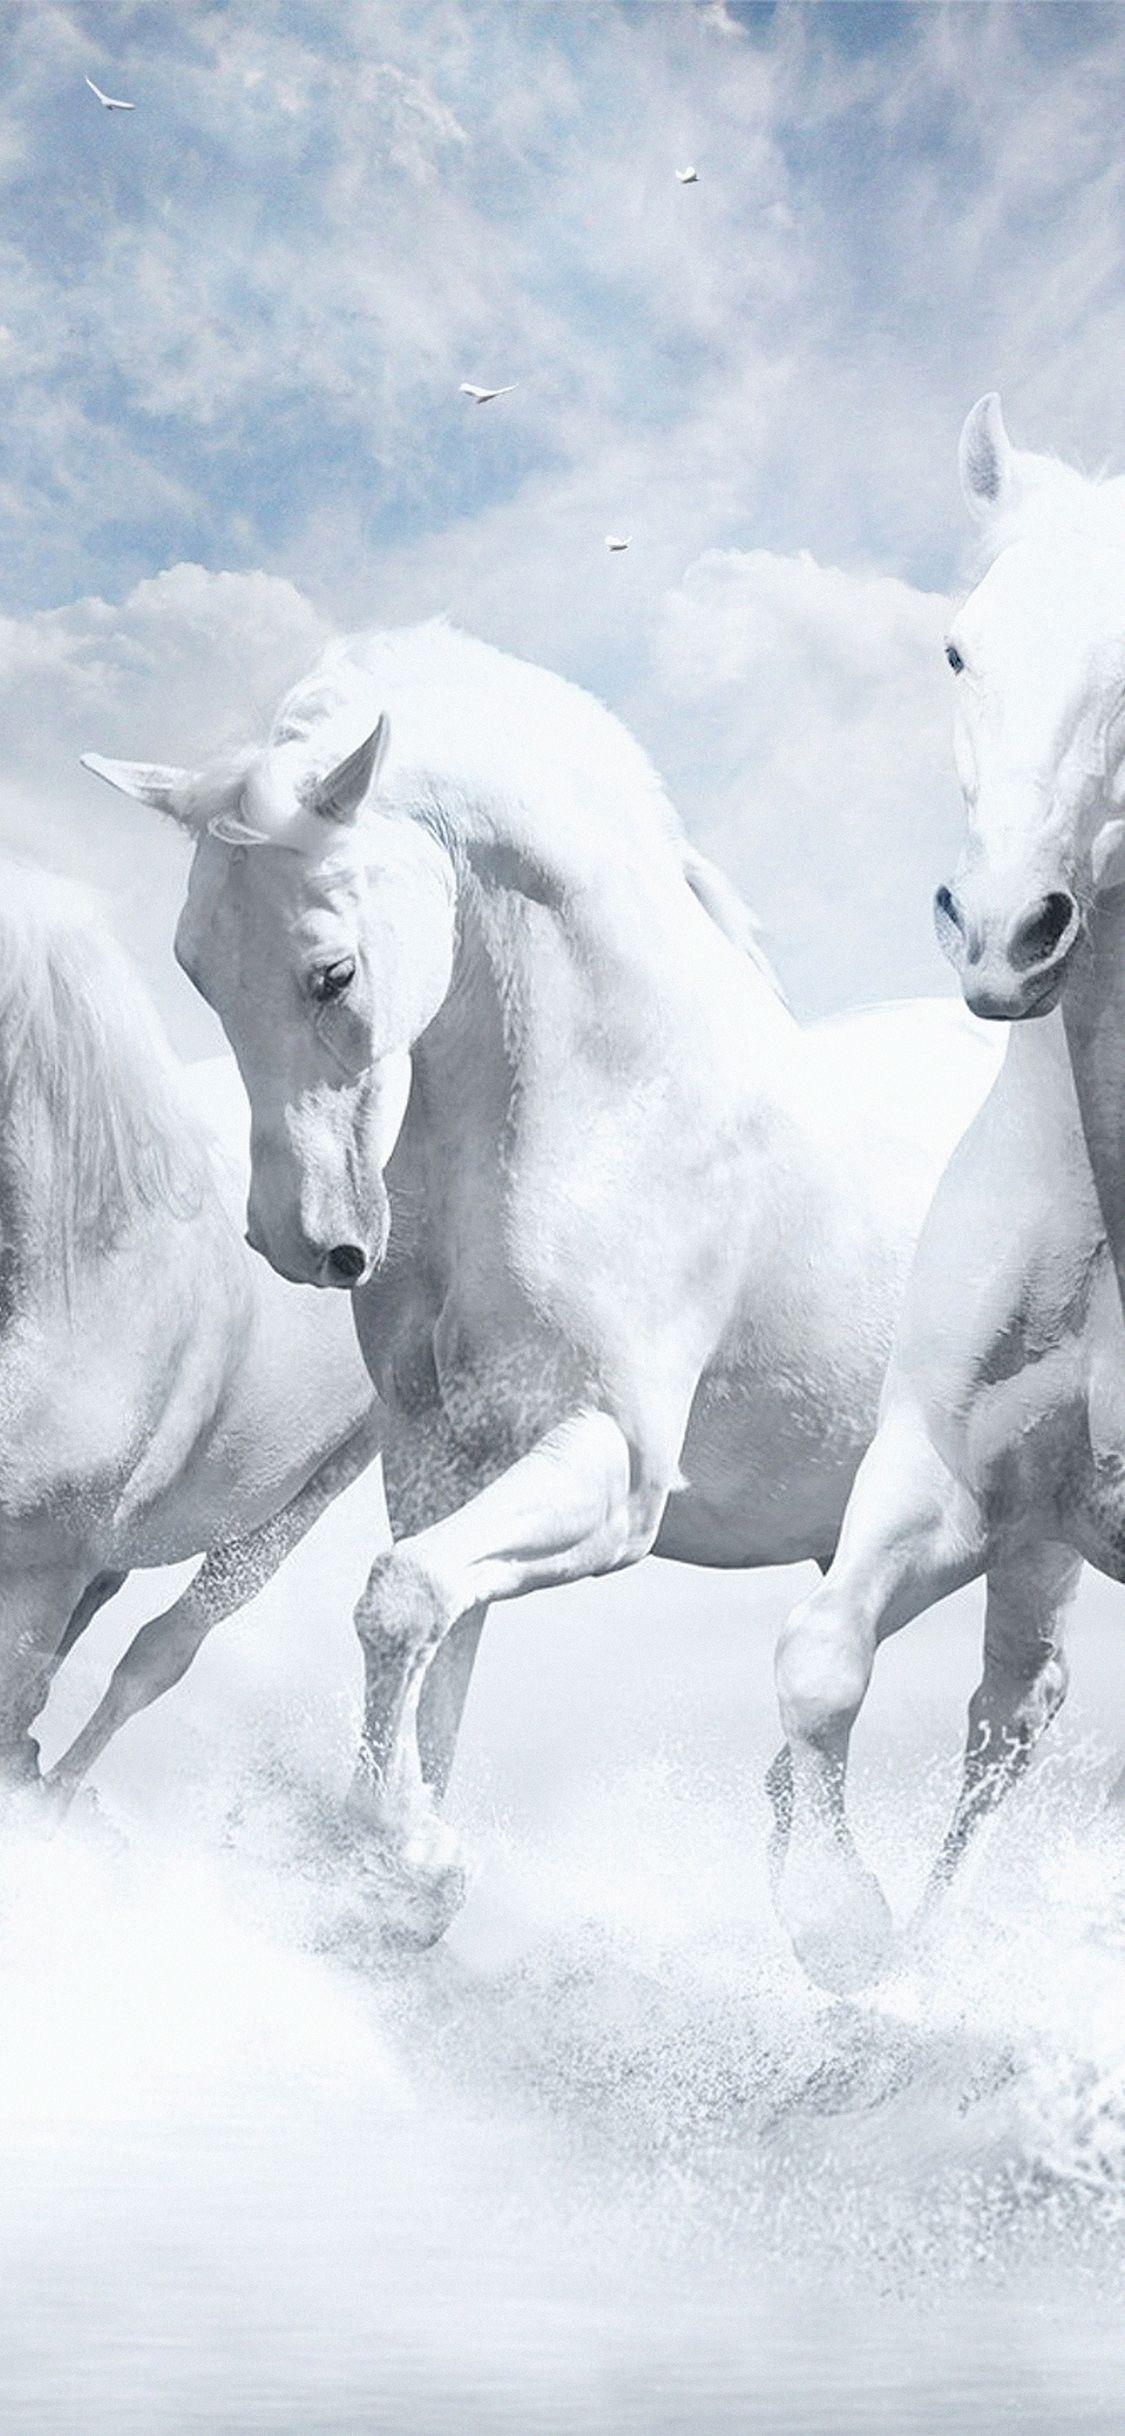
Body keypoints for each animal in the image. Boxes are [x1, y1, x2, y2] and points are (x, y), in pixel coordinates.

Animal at [83, 621, 1002, 1943]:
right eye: (194, 969)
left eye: (332, 974)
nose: (300, 1243)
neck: (606, 1109)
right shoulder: (442, 1455)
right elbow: (432, 1634)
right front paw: (405, 1870)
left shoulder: (611, 1469)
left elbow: (402, 1600)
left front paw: (409, 1854)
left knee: (1010, 1724)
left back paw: (910, 1945)